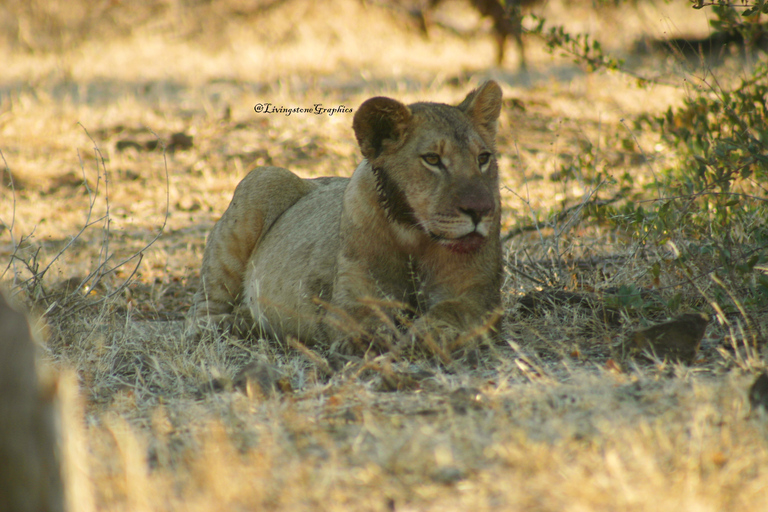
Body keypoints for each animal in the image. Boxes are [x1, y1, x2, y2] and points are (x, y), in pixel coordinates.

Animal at [188, 80, 504, 354]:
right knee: (200, 312)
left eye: (483, 158)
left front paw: (429, 337)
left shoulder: (476, 294)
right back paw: (224, 329)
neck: (415, 235)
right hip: (263, 179)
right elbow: (364, 321)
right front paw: (372, 341)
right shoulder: (352, 296)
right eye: (433, 159)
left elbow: (451, 313)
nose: (481, 210)